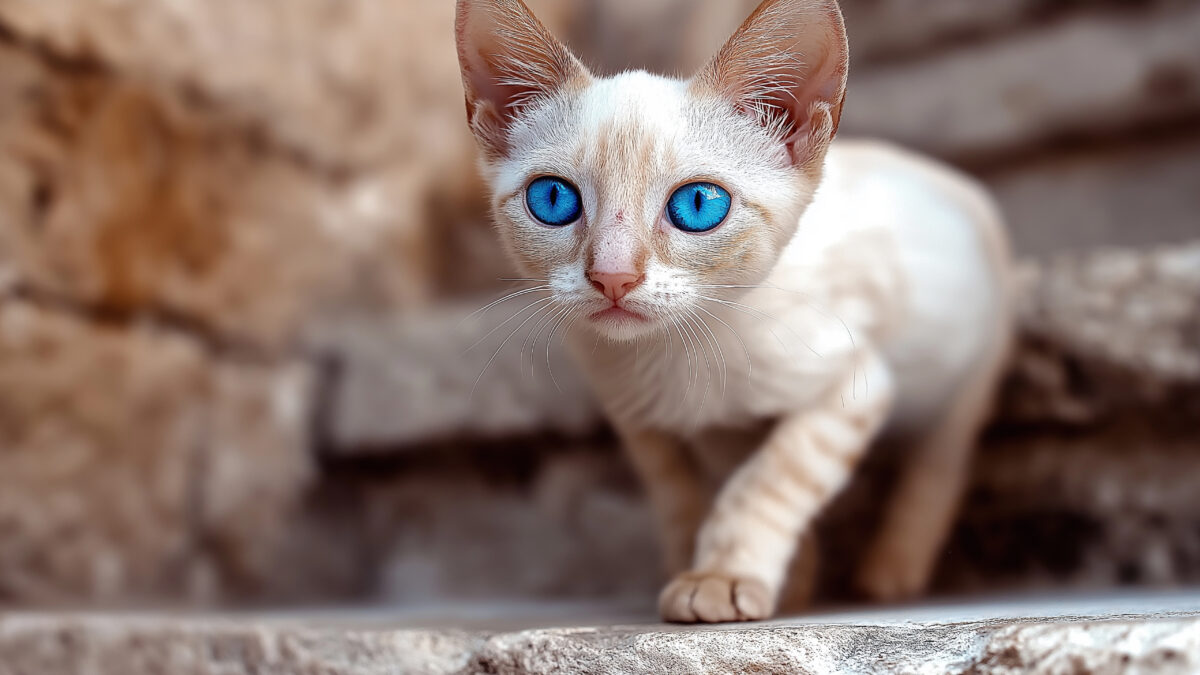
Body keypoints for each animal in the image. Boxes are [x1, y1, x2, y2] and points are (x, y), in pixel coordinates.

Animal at [453, 0, 1017, 619]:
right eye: (552, 200)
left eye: (699, 205)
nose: (612, 276)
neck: (673, 361)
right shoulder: (642, 418)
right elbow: (681, 493)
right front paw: (737, 571)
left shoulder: (855, 383)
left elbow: (770, 479)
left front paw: (722, 576)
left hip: (975, 363)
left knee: (942, 459)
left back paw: (894, 566)